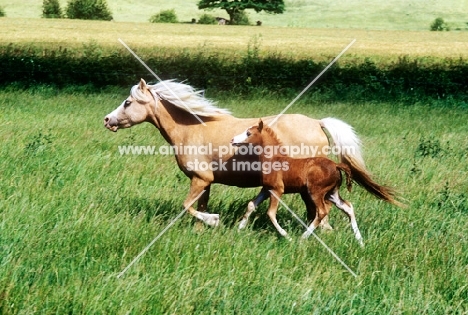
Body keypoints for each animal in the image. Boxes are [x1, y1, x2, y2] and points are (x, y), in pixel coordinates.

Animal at [232, 119, 364, 246]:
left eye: (248, 133)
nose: (233, 140)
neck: (273, 159)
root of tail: (336, 165)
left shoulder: (277, 190)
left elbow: (271, 213)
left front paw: (287, 236)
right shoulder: (266, 189)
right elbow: (251, 205)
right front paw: (239, 229)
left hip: (316, 192)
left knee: (322, 212)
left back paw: (302, 238)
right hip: (331, 193)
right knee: (348, 207)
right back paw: (360, 241)